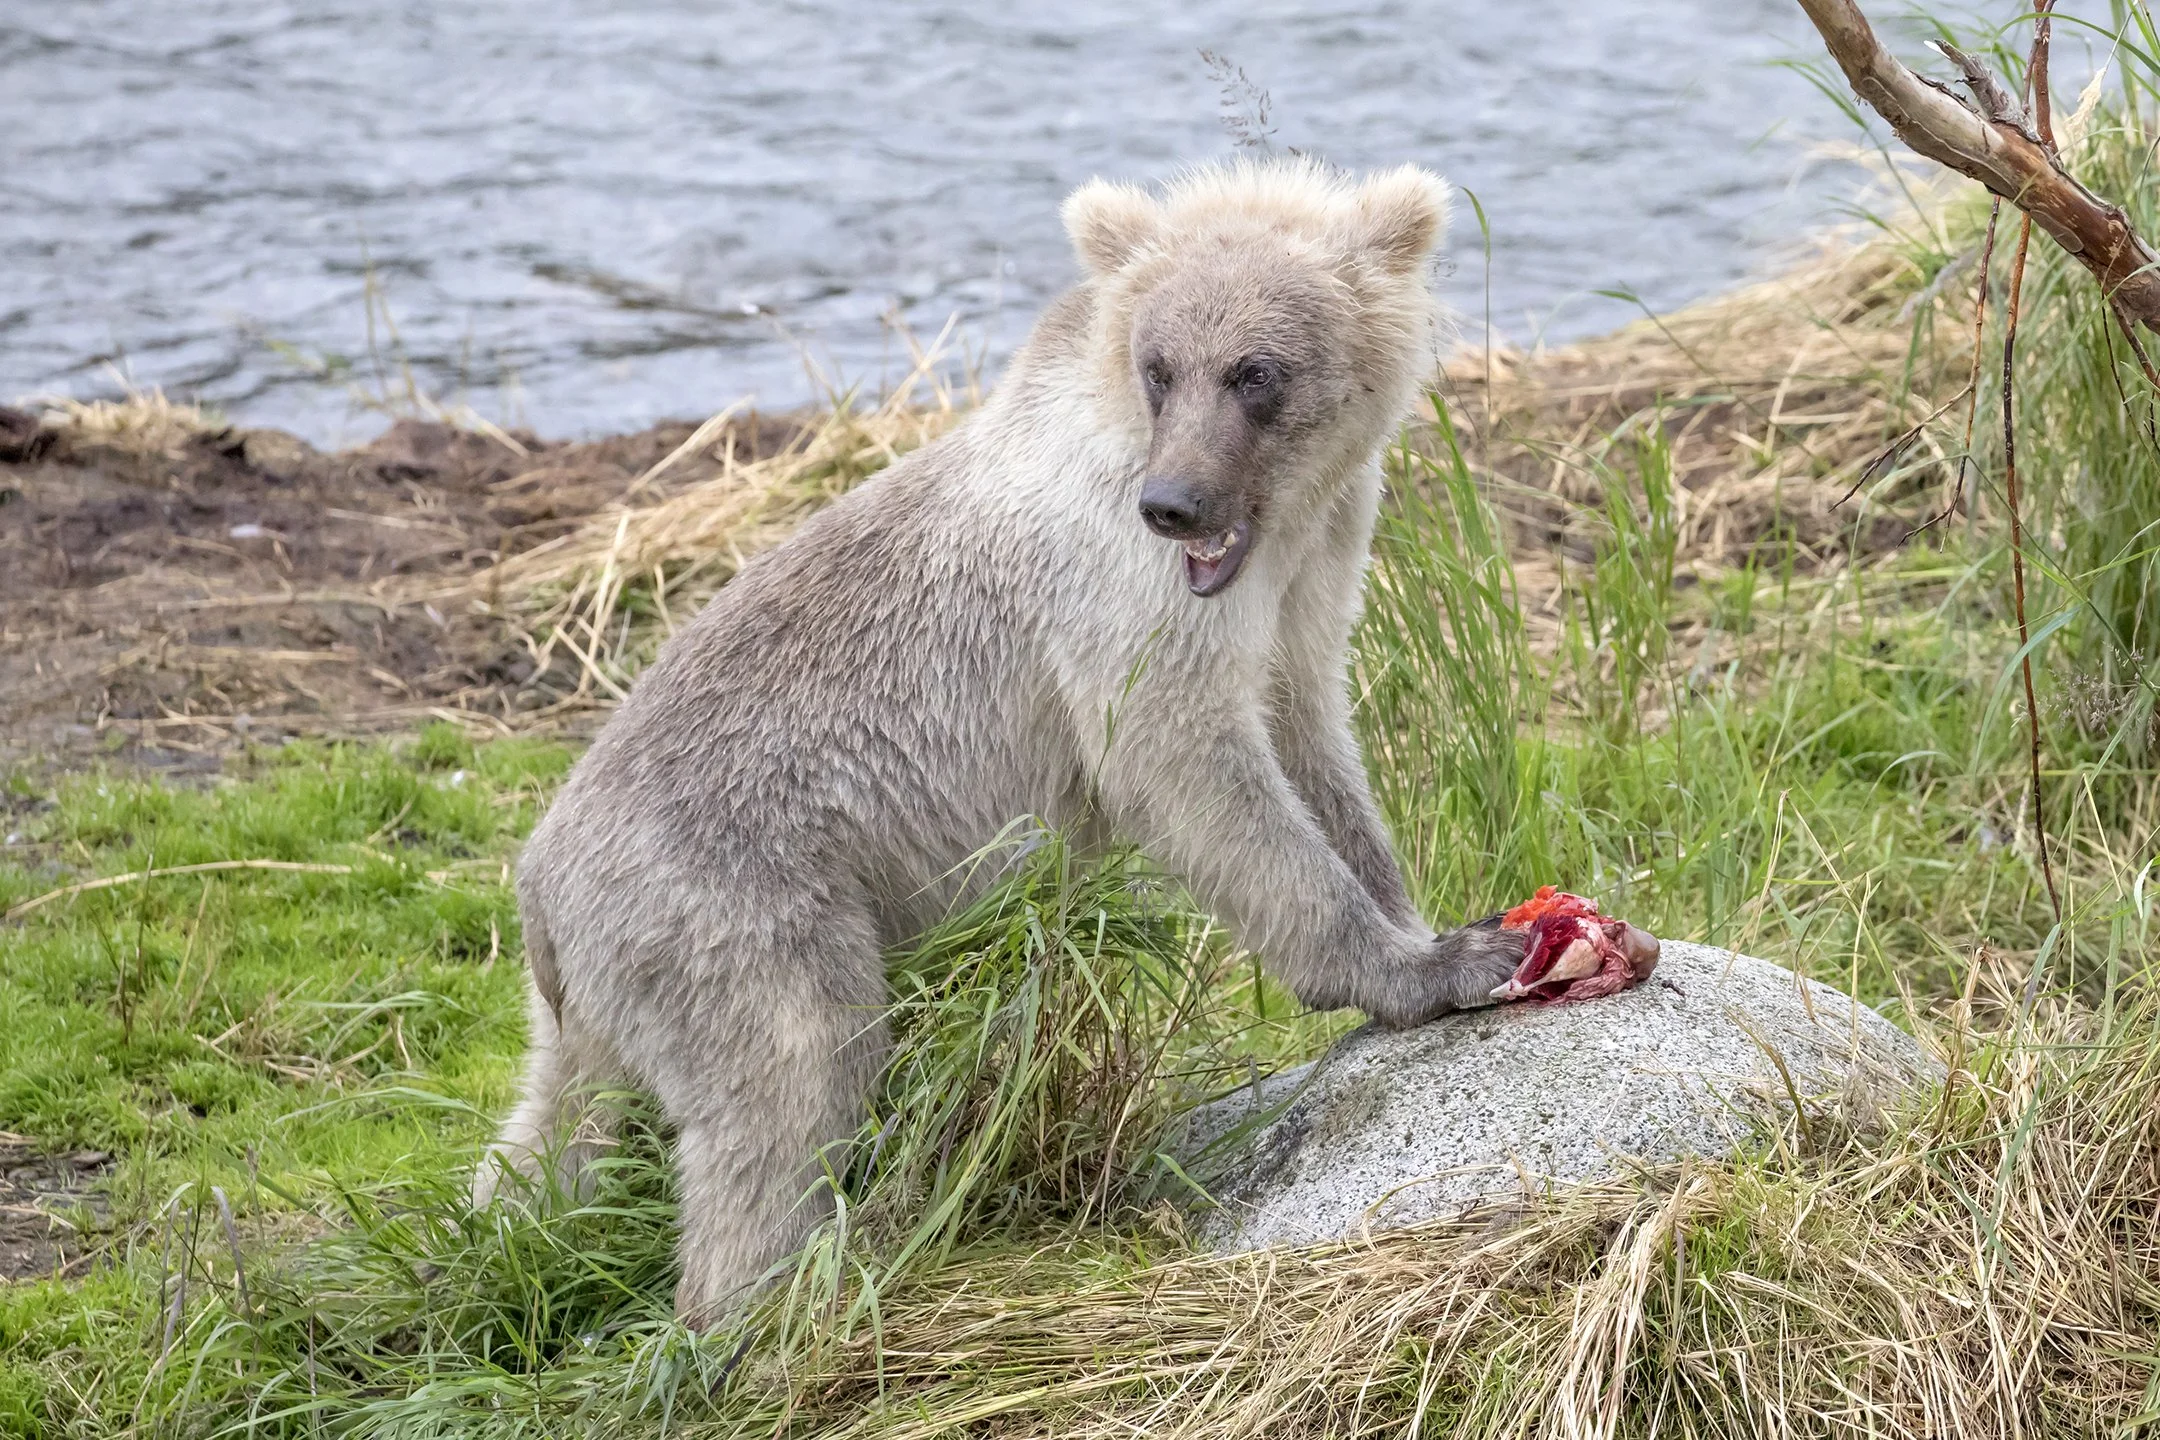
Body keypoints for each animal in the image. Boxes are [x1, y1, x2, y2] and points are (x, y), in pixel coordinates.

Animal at [479, 156, 1546, 1326]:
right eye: (1162, 367)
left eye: (1254, 371)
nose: (1174, 504)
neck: (1271, 524)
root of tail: (537, 885)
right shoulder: (1117, 596)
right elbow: (1190, 770)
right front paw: (1437, 964)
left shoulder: (1315, 567)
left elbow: (1312, 737)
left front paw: (1428, 915)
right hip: (735, 900)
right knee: (794, 1083)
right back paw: (775, 1305)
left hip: (599, 994)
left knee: (549, 1133)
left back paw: (507, 1248)